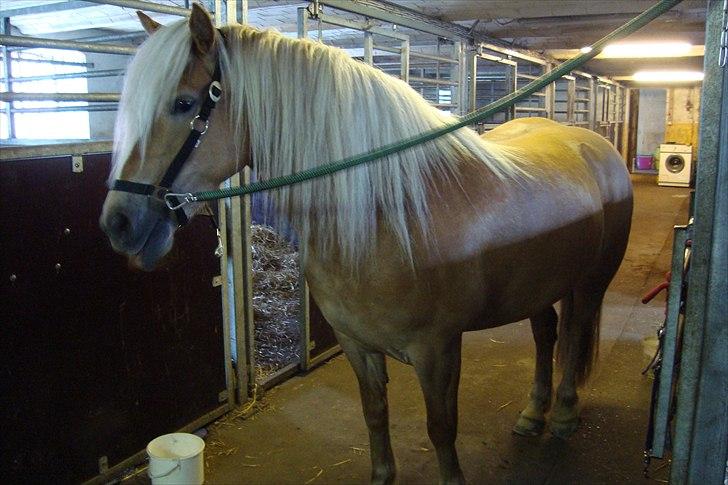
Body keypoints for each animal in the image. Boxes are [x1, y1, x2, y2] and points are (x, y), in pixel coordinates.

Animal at [101, 5, 632, 482]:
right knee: (547, 336)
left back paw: (563, 416)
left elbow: (442, 429)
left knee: (573, 336)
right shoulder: (357, 345)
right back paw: (532, 414)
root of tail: (594, 146)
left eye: (184, 103)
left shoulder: (438, 350)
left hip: (590, 284)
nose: (118, 223)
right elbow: (374, 417)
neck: (388, 216)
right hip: (538, 287)